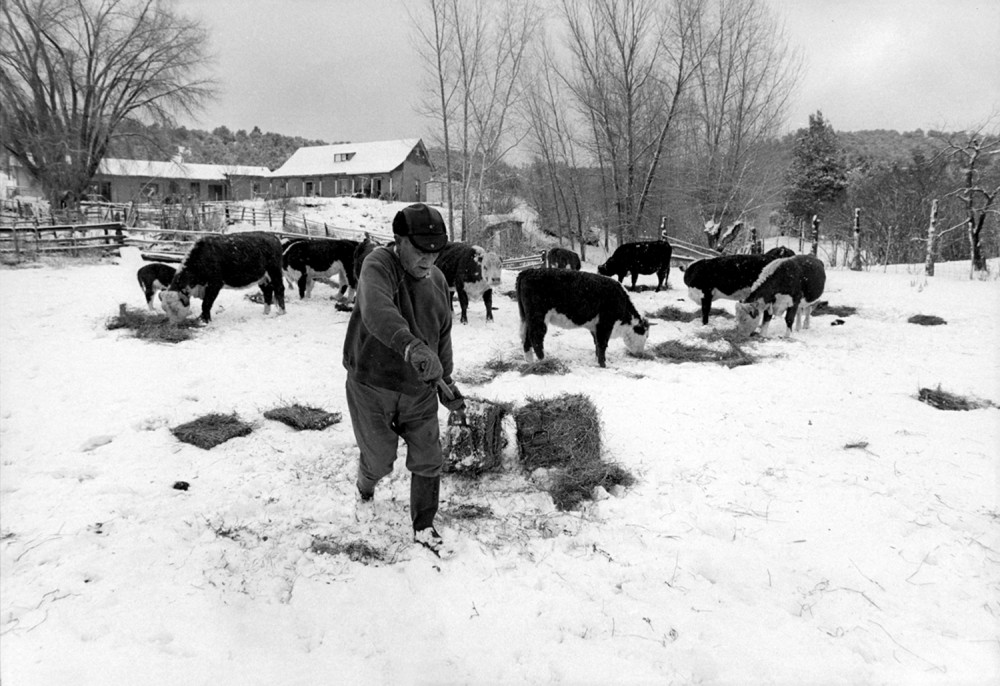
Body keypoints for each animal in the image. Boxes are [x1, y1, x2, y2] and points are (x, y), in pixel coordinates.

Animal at [516, 268, 656, 368]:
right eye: (646, 335)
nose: (641, 354)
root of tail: (527, 271)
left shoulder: (595, 327)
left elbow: (597, 345)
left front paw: (597, 361)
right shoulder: (605, 324)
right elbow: (602, 344)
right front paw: (603, 365)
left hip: (527, 318)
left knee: (526, 339)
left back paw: (530, 362)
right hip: (538, 317)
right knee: (536, 338)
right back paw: (544, 361)